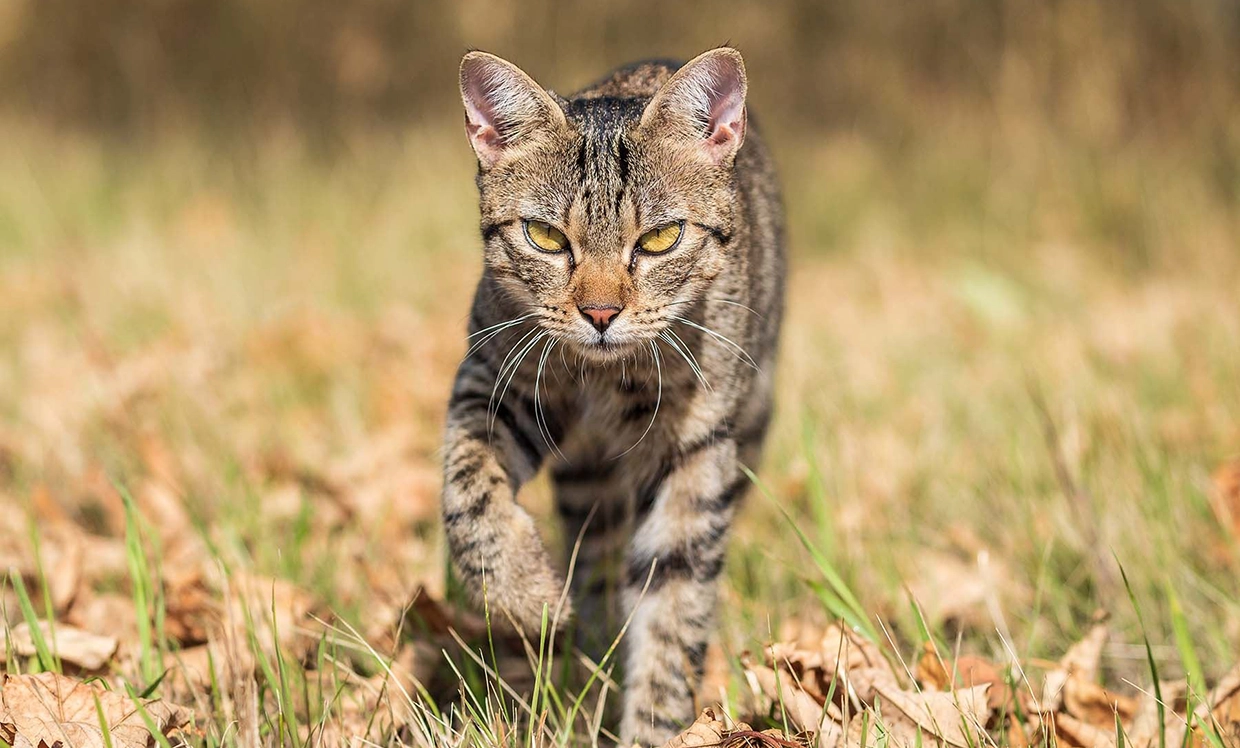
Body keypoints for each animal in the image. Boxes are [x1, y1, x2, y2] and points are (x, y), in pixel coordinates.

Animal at [441, 49, 778, 744]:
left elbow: (674, 609)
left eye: (660, 240)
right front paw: (527, 595)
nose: (600, 313)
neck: (602, 379)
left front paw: (656, 727)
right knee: (595, 559)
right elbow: (468, 493)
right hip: (585, 480)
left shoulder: (695, 453)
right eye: (544, 237)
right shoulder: (493, 383)